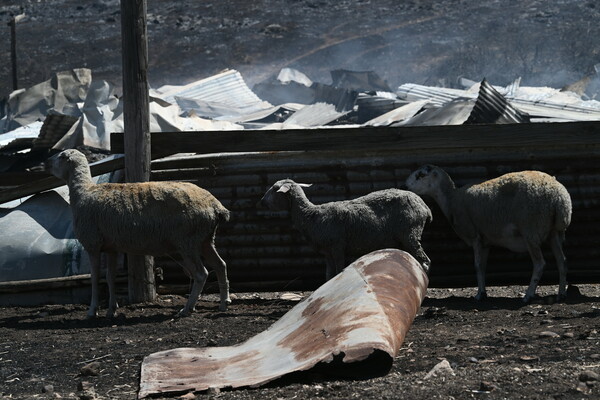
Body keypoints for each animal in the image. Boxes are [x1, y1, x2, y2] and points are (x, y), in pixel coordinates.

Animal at [44, 148, 231, 318]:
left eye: (61, 156)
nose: (45, 163)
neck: (83, 192)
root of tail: (215, 205)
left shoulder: (93, 245)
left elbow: (95, 278)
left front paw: (92, 311)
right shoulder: (111, 248)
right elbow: (110, 277)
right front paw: (112, 310)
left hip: (187, 242)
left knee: (201, 274)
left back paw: (187, 309)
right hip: (205, 239)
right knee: (220, 265)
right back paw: (224, 303)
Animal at [256, 180, 432, 280]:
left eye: (274, 188)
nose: (262, 201)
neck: (311, 215)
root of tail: (424, 207)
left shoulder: (338, 246)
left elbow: (339, 269)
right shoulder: (327, 252)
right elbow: (329, 275)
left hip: (410, 233)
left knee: (425, 262)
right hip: (405, 238)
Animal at [408, 164, 572, 302]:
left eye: (421, 175)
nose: (406, 185)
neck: (452, 199)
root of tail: (559, 197)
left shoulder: (474, 235)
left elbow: (477, 265)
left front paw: (479, 295)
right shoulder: (485, 241)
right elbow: (483, 266)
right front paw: (483, 292)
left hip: (531, 230)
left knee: (539, 264)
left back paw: (528, 295)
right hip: (554, 232)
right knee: (562, 261)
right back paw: (561, 294)